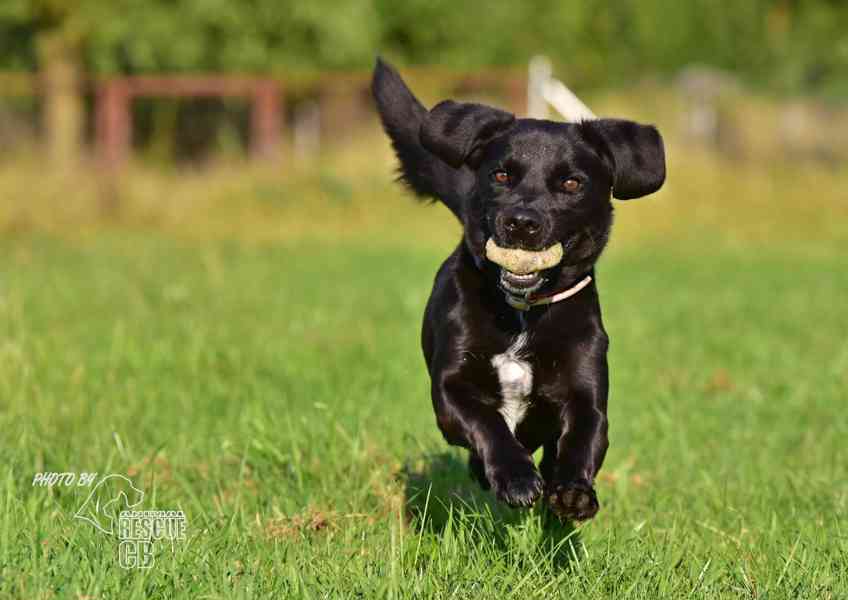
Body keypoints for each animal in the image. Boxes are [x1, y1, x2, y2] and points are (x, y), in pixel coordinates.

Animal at [374, 62, 664, 520]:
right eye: (501, 175)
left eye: (571, 183)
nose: (522, 223)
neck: (522, 314)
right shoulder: (451, 389)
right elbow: (488, 422)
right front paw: (516, 478)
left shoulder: (587, 394)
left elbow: (581, 440)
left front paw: (573, 491)